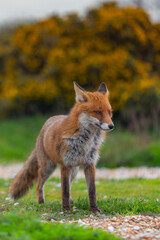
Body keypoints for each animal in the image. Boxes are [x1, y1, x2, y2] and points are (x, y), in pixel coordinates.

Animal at [9, 82, 114, 212]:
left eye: (109, 112)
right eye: (98, 112)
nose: (111, 126)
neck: (85, 142)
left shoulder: (90, 164)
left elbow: (91, 191)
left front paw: (94, 209)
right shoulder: (65, 165)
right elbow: (64, 191)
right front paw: (65, 209)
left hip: (74, 170)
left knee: (68, 185)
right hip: (48, 167)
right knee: (39, 185)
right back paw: (41, 203)